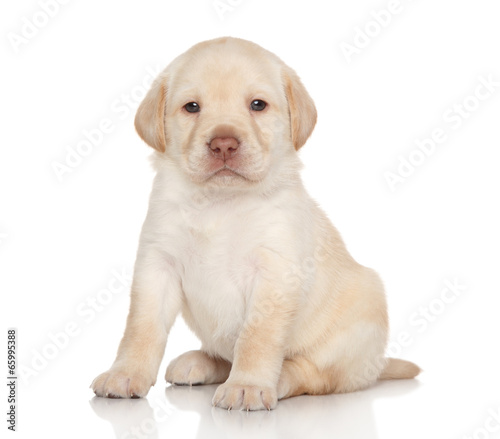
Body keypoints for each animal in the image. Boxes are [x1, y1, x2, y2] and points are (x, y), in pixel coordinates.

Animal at [90, 37, 418, 412]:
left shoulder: (274, 272)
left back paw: (280, 378)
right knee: (223, 355)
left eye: (257, 105)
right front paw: (125, 374)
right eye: (192, 107)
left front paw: (248, 386)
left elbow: (255, 338)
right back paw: (199, 362)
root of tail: (376, 365)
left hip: (353, 330)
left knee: (315, 375)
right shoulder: (157, 264)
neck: (218, 203)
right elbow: (140, 327)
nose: (223, 144)